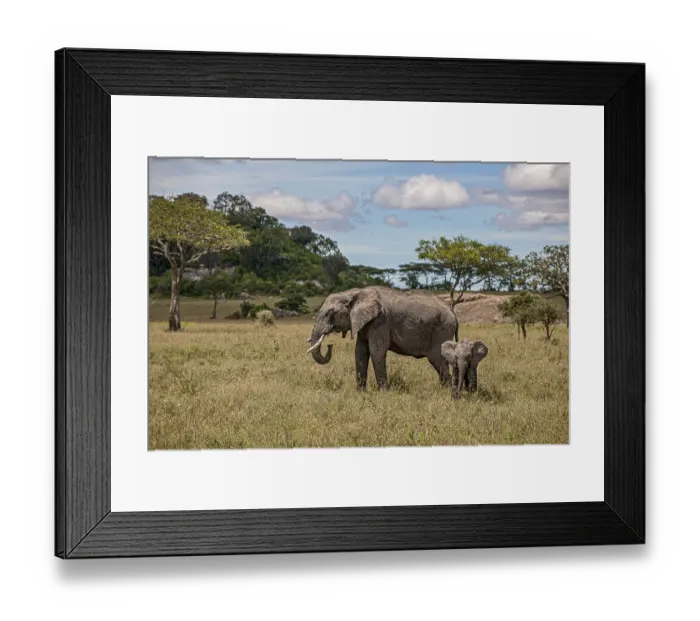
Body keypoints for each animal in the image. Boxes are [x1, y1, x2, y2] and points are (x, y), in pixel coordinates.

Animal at [306, 286, 459, 391]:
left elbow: (376, 351)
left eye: (330, 313)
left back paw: (447, 391)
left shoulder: (380, 321)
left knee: (437, 359)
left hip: (441, 331)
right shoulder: (365, 323)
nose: (329, 345)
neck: (355, 293)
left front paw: (384, 393)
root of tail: (453, 313)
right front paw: (360, 393)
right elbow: (360, 352)